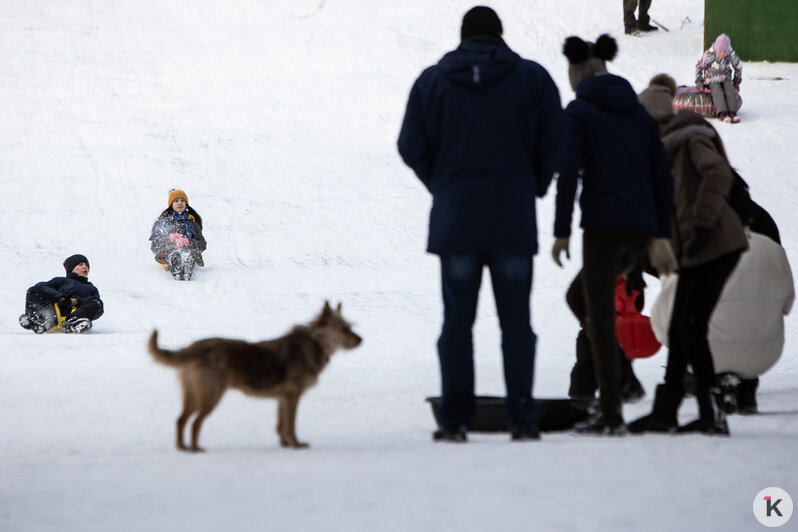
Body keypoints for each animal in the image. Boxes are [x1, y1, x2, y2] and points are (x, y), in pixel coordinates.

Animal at [147, 302, 362, 450]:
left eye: (350, 327)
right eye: (343, 328)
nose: (361, 339)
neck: (314, 343)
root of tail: (193, 347)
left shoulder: (282, 398)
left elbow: (281, 424)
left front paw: (285, 444)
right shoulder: (293, 396)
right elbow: (291, 425)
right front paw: (296, 444)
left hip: (193, 395)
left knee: (180, 420)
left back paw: (182, 448)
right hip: (211, 395)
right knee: (195, 423)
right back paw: (195, 449)